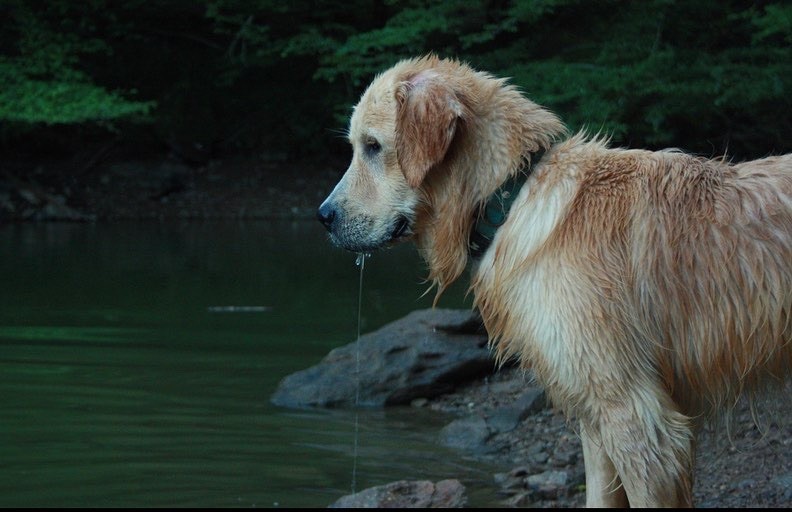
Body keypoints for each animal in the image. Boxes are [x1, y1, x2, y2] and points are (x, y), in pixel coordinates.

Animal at [318, 57, 792, 508]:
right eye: (357, 146)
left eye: (373, 146)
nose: (323, 216)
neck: (511, 197)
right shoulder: (597, 415)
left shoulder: (637, 416)